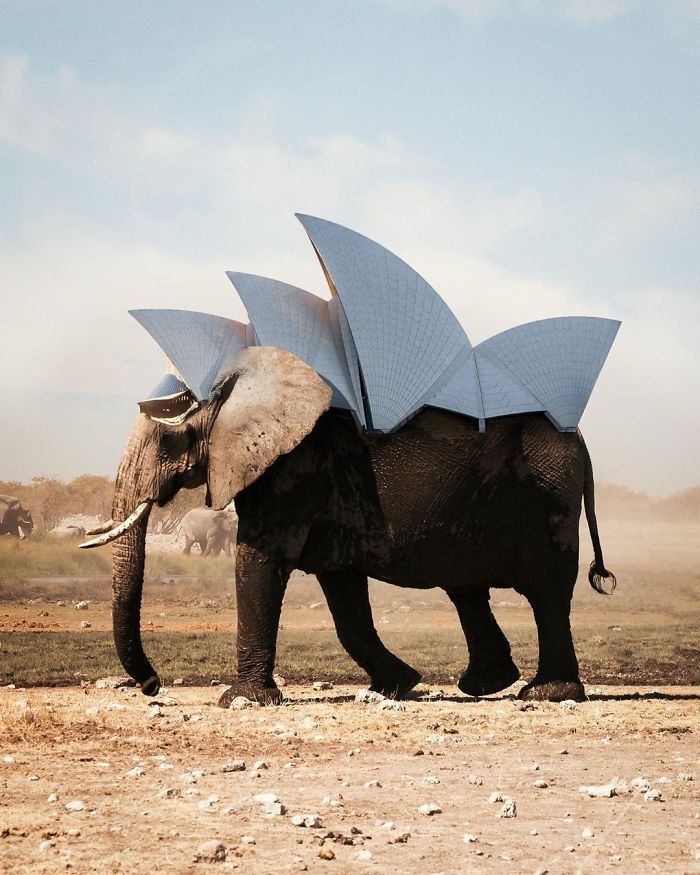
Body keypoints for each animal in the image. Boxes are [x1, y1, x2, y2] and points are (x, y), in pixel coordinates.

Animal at [82, 346, 616, 706]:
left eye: (166, 441)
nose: (153, 686)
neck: (241, 376)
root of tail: (582, 439)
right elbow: (343, 594)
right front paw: (398, 686)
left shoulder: (292, 470)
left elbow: (259, 561)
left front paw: (241, 701)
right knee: (466, 588)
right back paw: (486, 685)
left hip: (546, 497)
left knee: (546, 590)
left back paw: (546, 694)